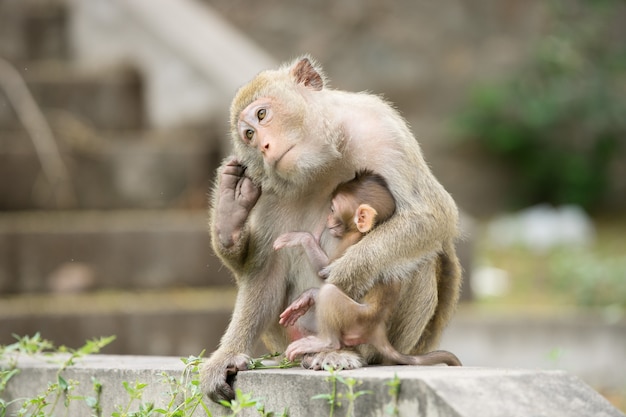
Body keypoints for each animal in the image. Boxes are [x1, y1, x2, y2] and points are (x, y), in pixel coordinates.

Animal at [272, 169, 458, 364]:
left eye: (332, 209)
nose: (327, 218)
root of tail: (377, 330)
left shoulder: (350, 239)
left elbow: (326, 270)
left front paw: (301, 239)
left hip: (356, 319)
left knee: (330, 293)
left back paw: (326, 342)